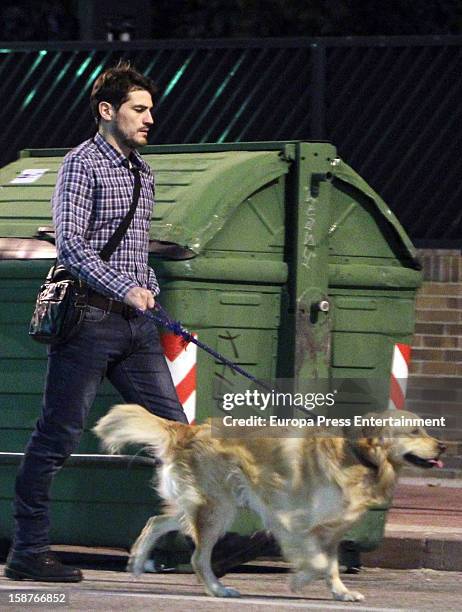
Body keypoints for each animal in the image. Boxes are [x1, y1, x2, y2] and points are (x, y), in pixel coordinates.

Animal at [93, 406, 444, 604]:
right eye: (414, 431)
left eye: (426, 429)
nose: (443, 446)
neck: (358, 457)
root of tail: (189, 429)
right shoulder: (293, 521)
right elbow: (317, 561)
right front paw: (299, 580)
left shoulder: (330, 530)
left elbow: (330, 564)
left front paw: (341, 592)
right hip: (218, 508)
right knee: (197, 557)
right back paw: (218, 590)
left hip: (206, 505)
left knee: (156, 521)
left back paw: (138, 562)